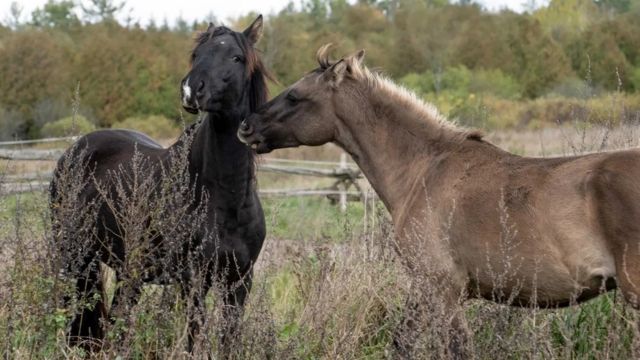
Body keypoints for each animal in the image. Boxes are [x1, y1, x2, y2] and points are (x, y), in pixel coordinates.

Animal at [50, 15, 268, 352]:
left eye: (236, 57)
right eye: (196, 54)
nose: (191, 90)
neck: (224, 199)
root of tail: (77, 149)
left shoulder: (240, 281)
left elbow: (228, 338)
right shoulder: (193, 280)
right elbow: (193, 336)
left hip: (126, 270)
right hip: (73, 254)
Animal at [239, 45, 640, 358]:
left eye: (294, 95)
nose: (246, 127)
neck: (423, 169)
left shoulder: (441, 289)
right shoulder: (428, 290)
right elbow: (401, 343)